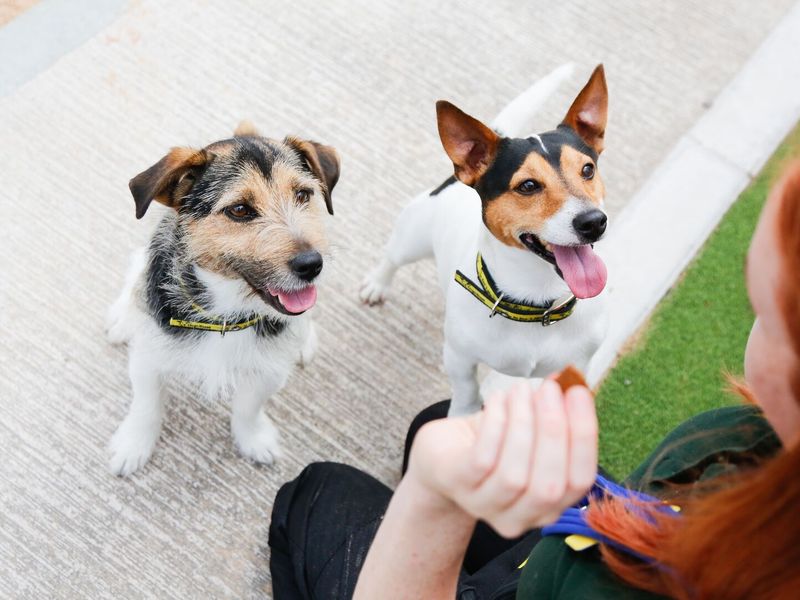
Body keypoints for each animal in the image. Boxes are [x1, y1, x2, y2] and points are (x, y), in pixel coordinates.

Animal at [105, 123, 338, 478]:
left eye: (303, 195)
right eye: (240, 209)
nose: (311, 264)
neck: (228, 311)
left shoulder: (268, 371)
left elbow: (248, 408)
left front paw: (253, 439)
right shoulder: (148, 358)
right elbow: (147, 405)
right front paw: (133, 445)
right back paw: (121, 319)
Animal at [364, 63, 612, 414]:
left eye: (588, 170)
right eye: (528, 186)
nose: (593, 222)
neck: (537, 304)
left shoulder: (575, 364)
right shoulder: (458, 356)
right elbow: (466, 387)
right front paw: (463, 413)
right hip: (411, 238)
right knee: (392, 258)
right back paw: (377, 284)